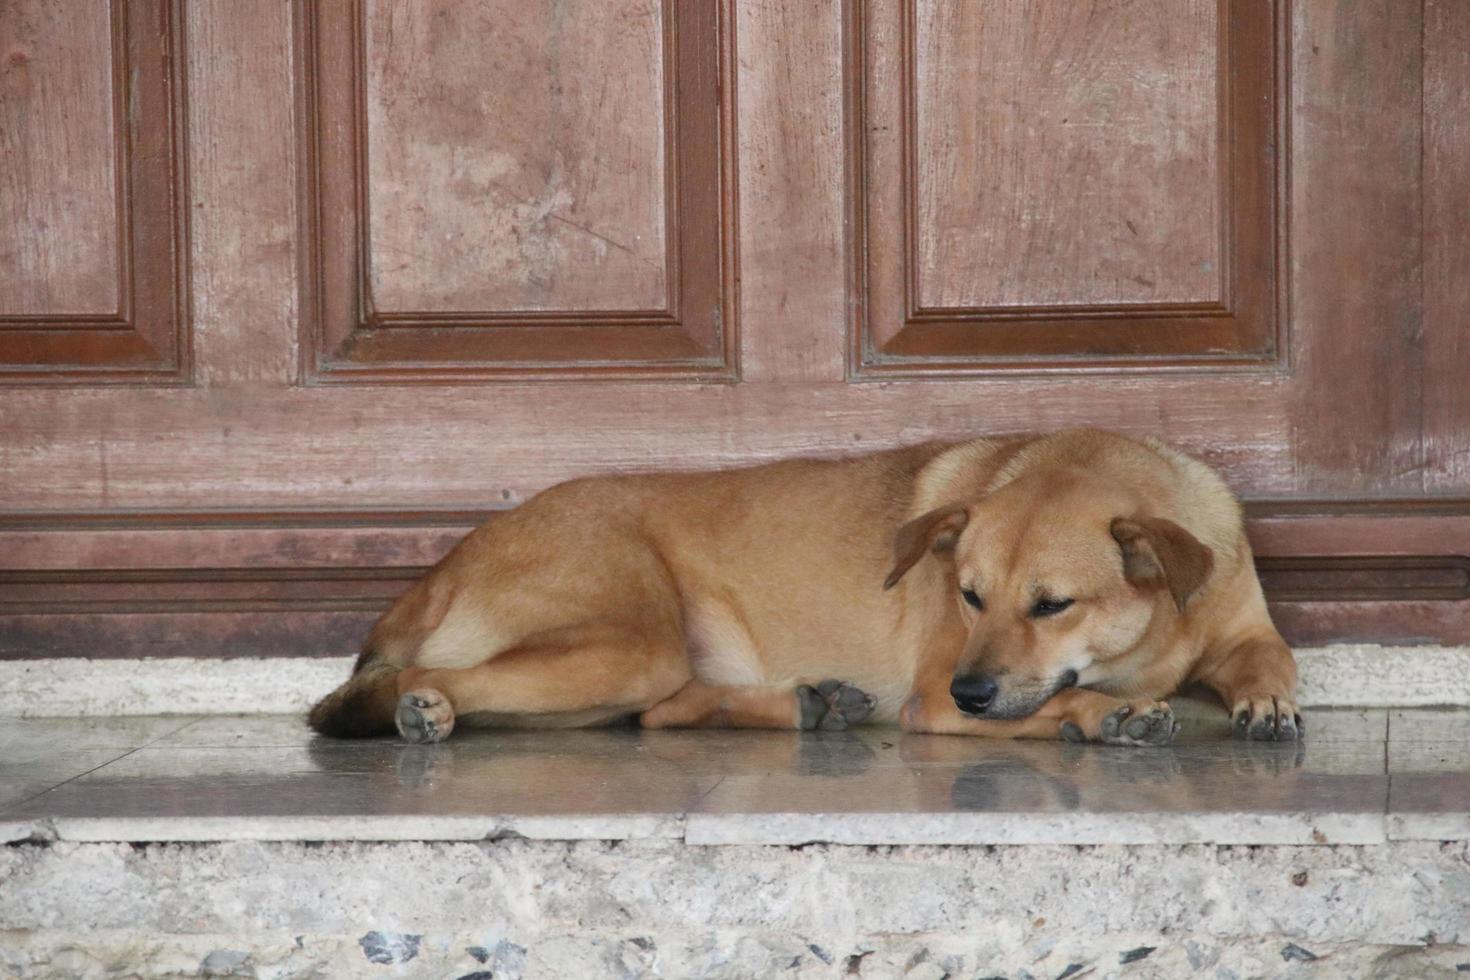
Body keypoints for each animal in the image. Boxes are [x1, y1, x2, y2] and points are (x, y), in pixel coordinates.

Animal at [307, 426, 1299, 743]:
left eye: (1052, 603)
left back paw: (807, 704)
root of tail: (448, 560)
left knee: (659, 714)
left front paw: (1267, 701)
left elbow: (1270, 656)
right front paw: (1106, 715)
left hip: (629, 675)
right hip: (627, 646)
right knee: (415, 682)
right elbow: (1052, 706)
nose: (972, 692)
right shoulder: (935, 697)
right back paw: (415, 710)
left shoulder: (1242, 620)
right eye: (969, 595)